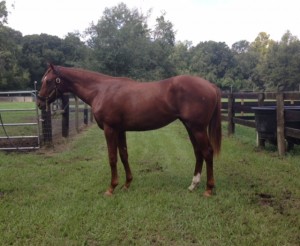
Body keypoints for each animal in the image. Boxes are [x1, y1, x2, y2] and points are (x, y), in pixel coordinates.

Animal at [37, 64, 220, 197]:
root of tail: (210, 85)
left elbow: (112, 158)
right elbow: (124, 155)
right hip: (190, 126)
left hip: (197, 128)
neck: (101, 90)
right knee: (198, 152)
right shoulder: (120, 130)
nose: (39, 103)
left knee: (207, 152)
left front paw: (111, 188)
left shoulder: (110, 129)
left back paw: (208, 189)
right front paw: (126, 184)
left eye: (48, 80)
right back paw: (193, 185)